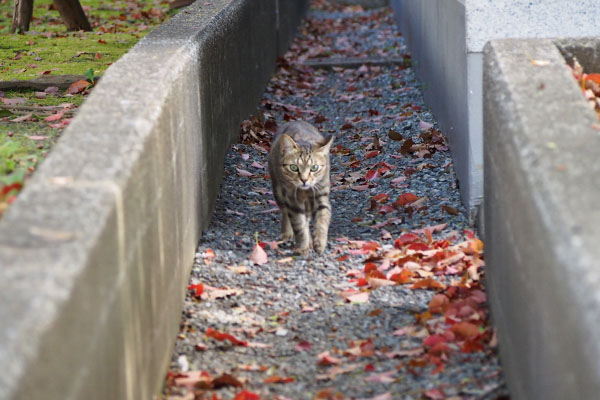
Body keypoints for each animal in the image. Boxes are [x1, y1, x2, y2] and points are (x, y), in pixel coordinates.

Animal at [270, 120, 336, 255]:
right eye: (294, 167)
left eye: (314, 168)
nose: (304, 180)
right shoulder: (291, 199)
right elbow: (299, 224)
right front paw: (303, 246)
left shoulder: (321, 195)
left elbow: (323, 218)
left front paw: (320, 242)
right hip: (278, 192)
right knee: (286, 212)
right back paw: (287, 233)